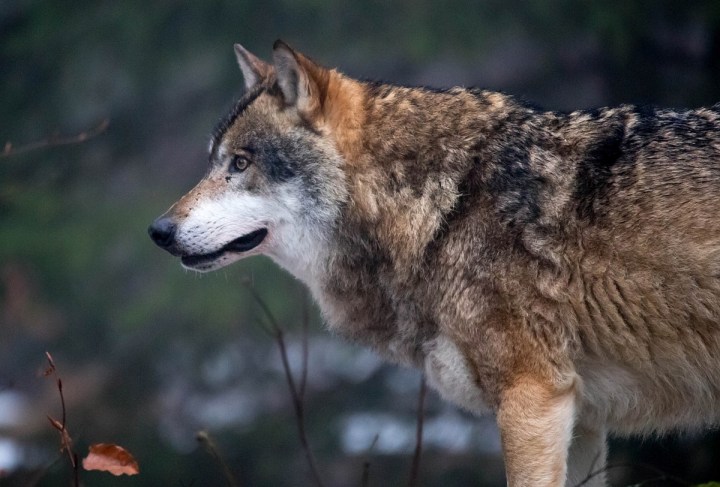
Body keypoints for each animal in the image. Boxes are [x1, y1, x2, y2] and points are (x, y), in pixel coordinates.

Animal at [149, 41, 720, 486]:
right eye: (213, 162)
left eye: (241, 164)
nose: (158, 232)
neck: (445, 205)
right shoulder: (582, 416)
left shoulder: (533, 396)